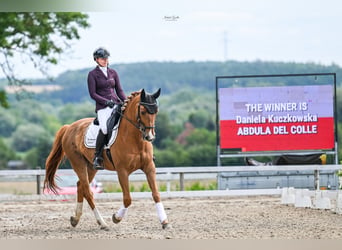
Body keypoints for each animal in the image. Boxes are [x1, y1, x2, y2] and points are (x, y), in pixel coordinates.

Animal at [43, 88, 169, 230]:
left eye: (156, 111)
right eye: (142, 112)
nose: (150, 137)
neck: (135, 140)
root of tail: (69, 127)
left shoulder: (149, 167)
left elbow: (156, 194)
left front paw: (164, 221)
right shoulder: (122, 171)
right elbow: (127, 199)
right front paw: (116, 217)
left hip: (91, 167)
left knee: (80, 186)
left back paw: (75, 219)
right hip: (78, 163)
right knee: (88, 191)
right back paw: (102, 223)